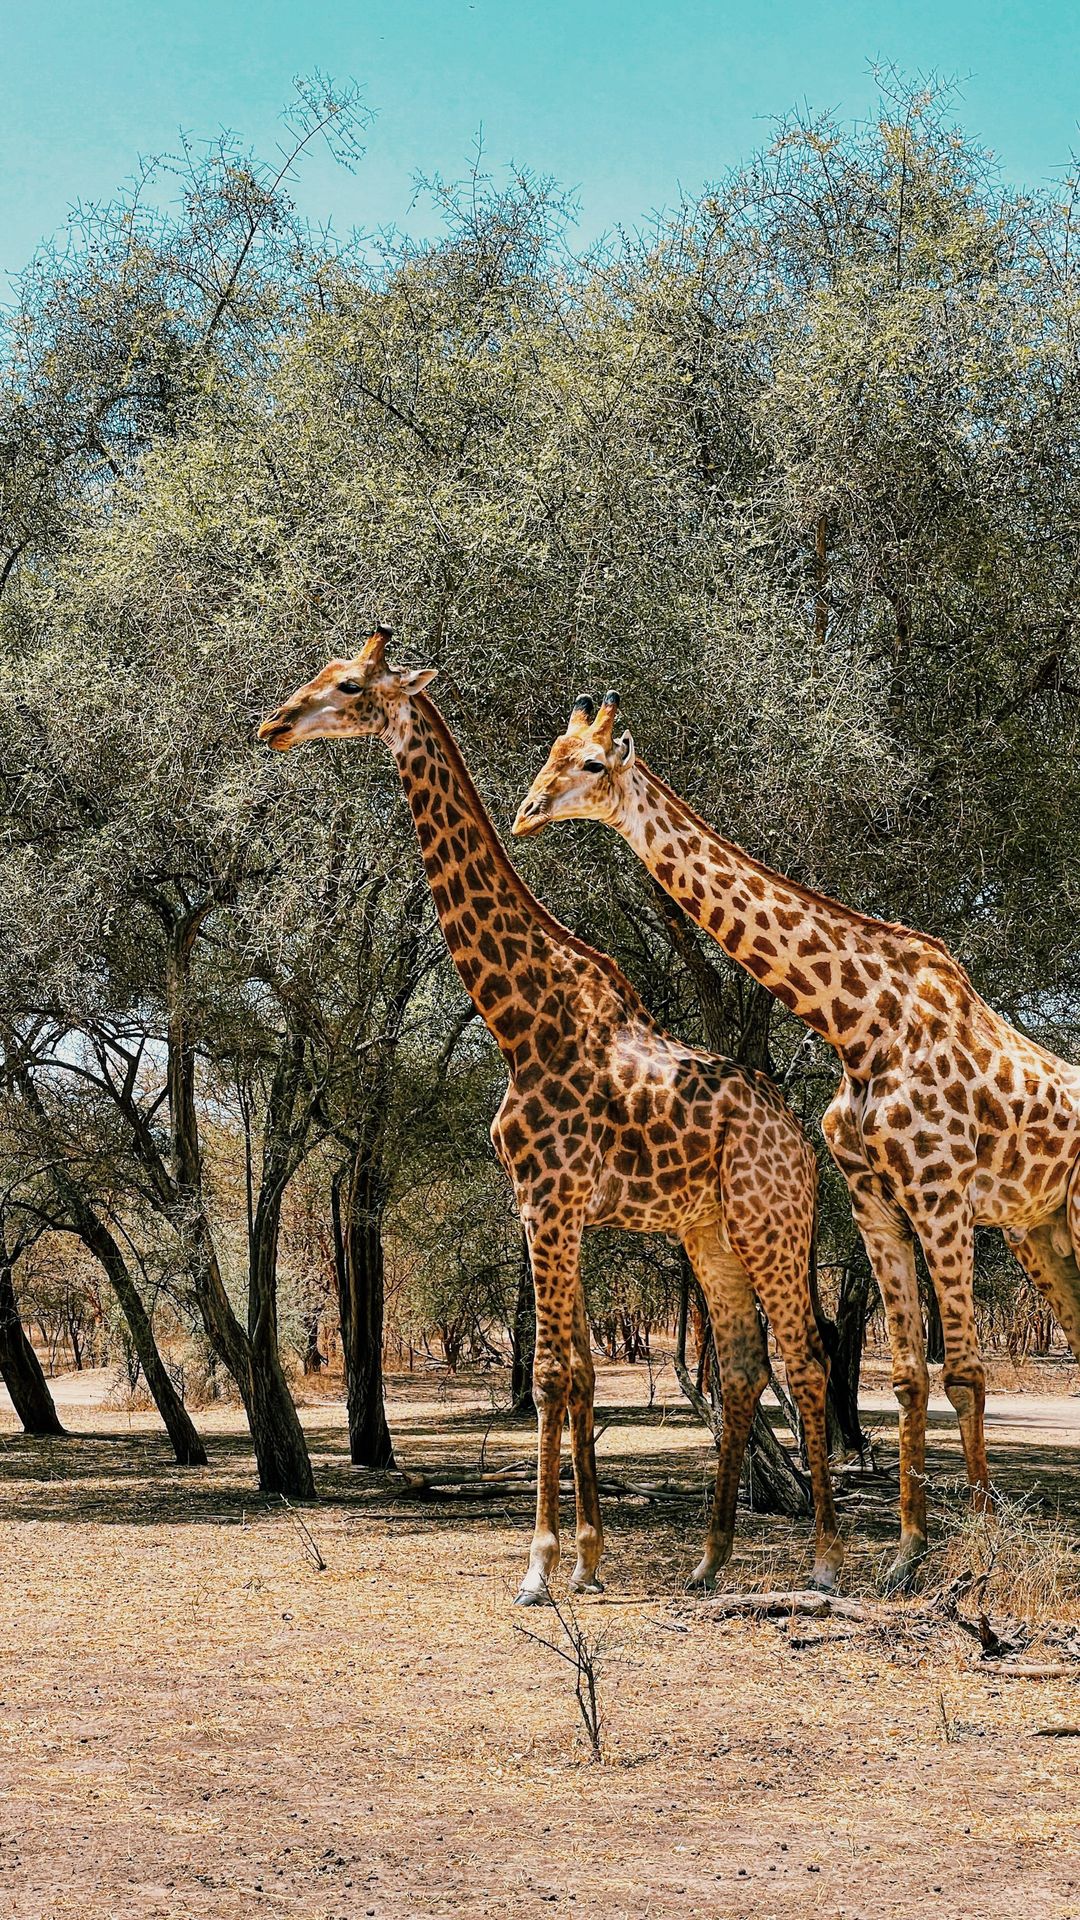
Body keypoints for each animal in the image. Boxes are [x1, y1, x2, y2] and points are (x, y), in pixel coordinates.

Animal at [259, 632, 843, 1603]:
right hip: (710, 1233)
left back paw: (829, 1561)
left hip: (773, 1224)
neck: (519, 1018)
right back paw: (709, 1559)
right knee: (743, 1368)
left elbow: (551, 1372)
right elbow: (580, 1373)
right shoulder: (546, 1209)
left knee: (805, 1363)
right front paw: (590, 1557)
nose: (272, 724)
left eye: (347, 685)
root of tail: (803, 1143)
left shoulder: (551, 1202)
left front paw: (540, 1566)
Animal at [514, 690, 1080, 1589]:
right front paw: (905, 1559)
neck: (861, 1025)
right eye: (550, 754)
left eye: (592, 764)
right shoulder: (877, 1200)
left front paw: (981, 1557)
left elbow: (963, 1370)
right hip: (1041, 1233)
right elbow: (911, 1379)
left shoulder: (942, 1194)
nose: (528, 813)